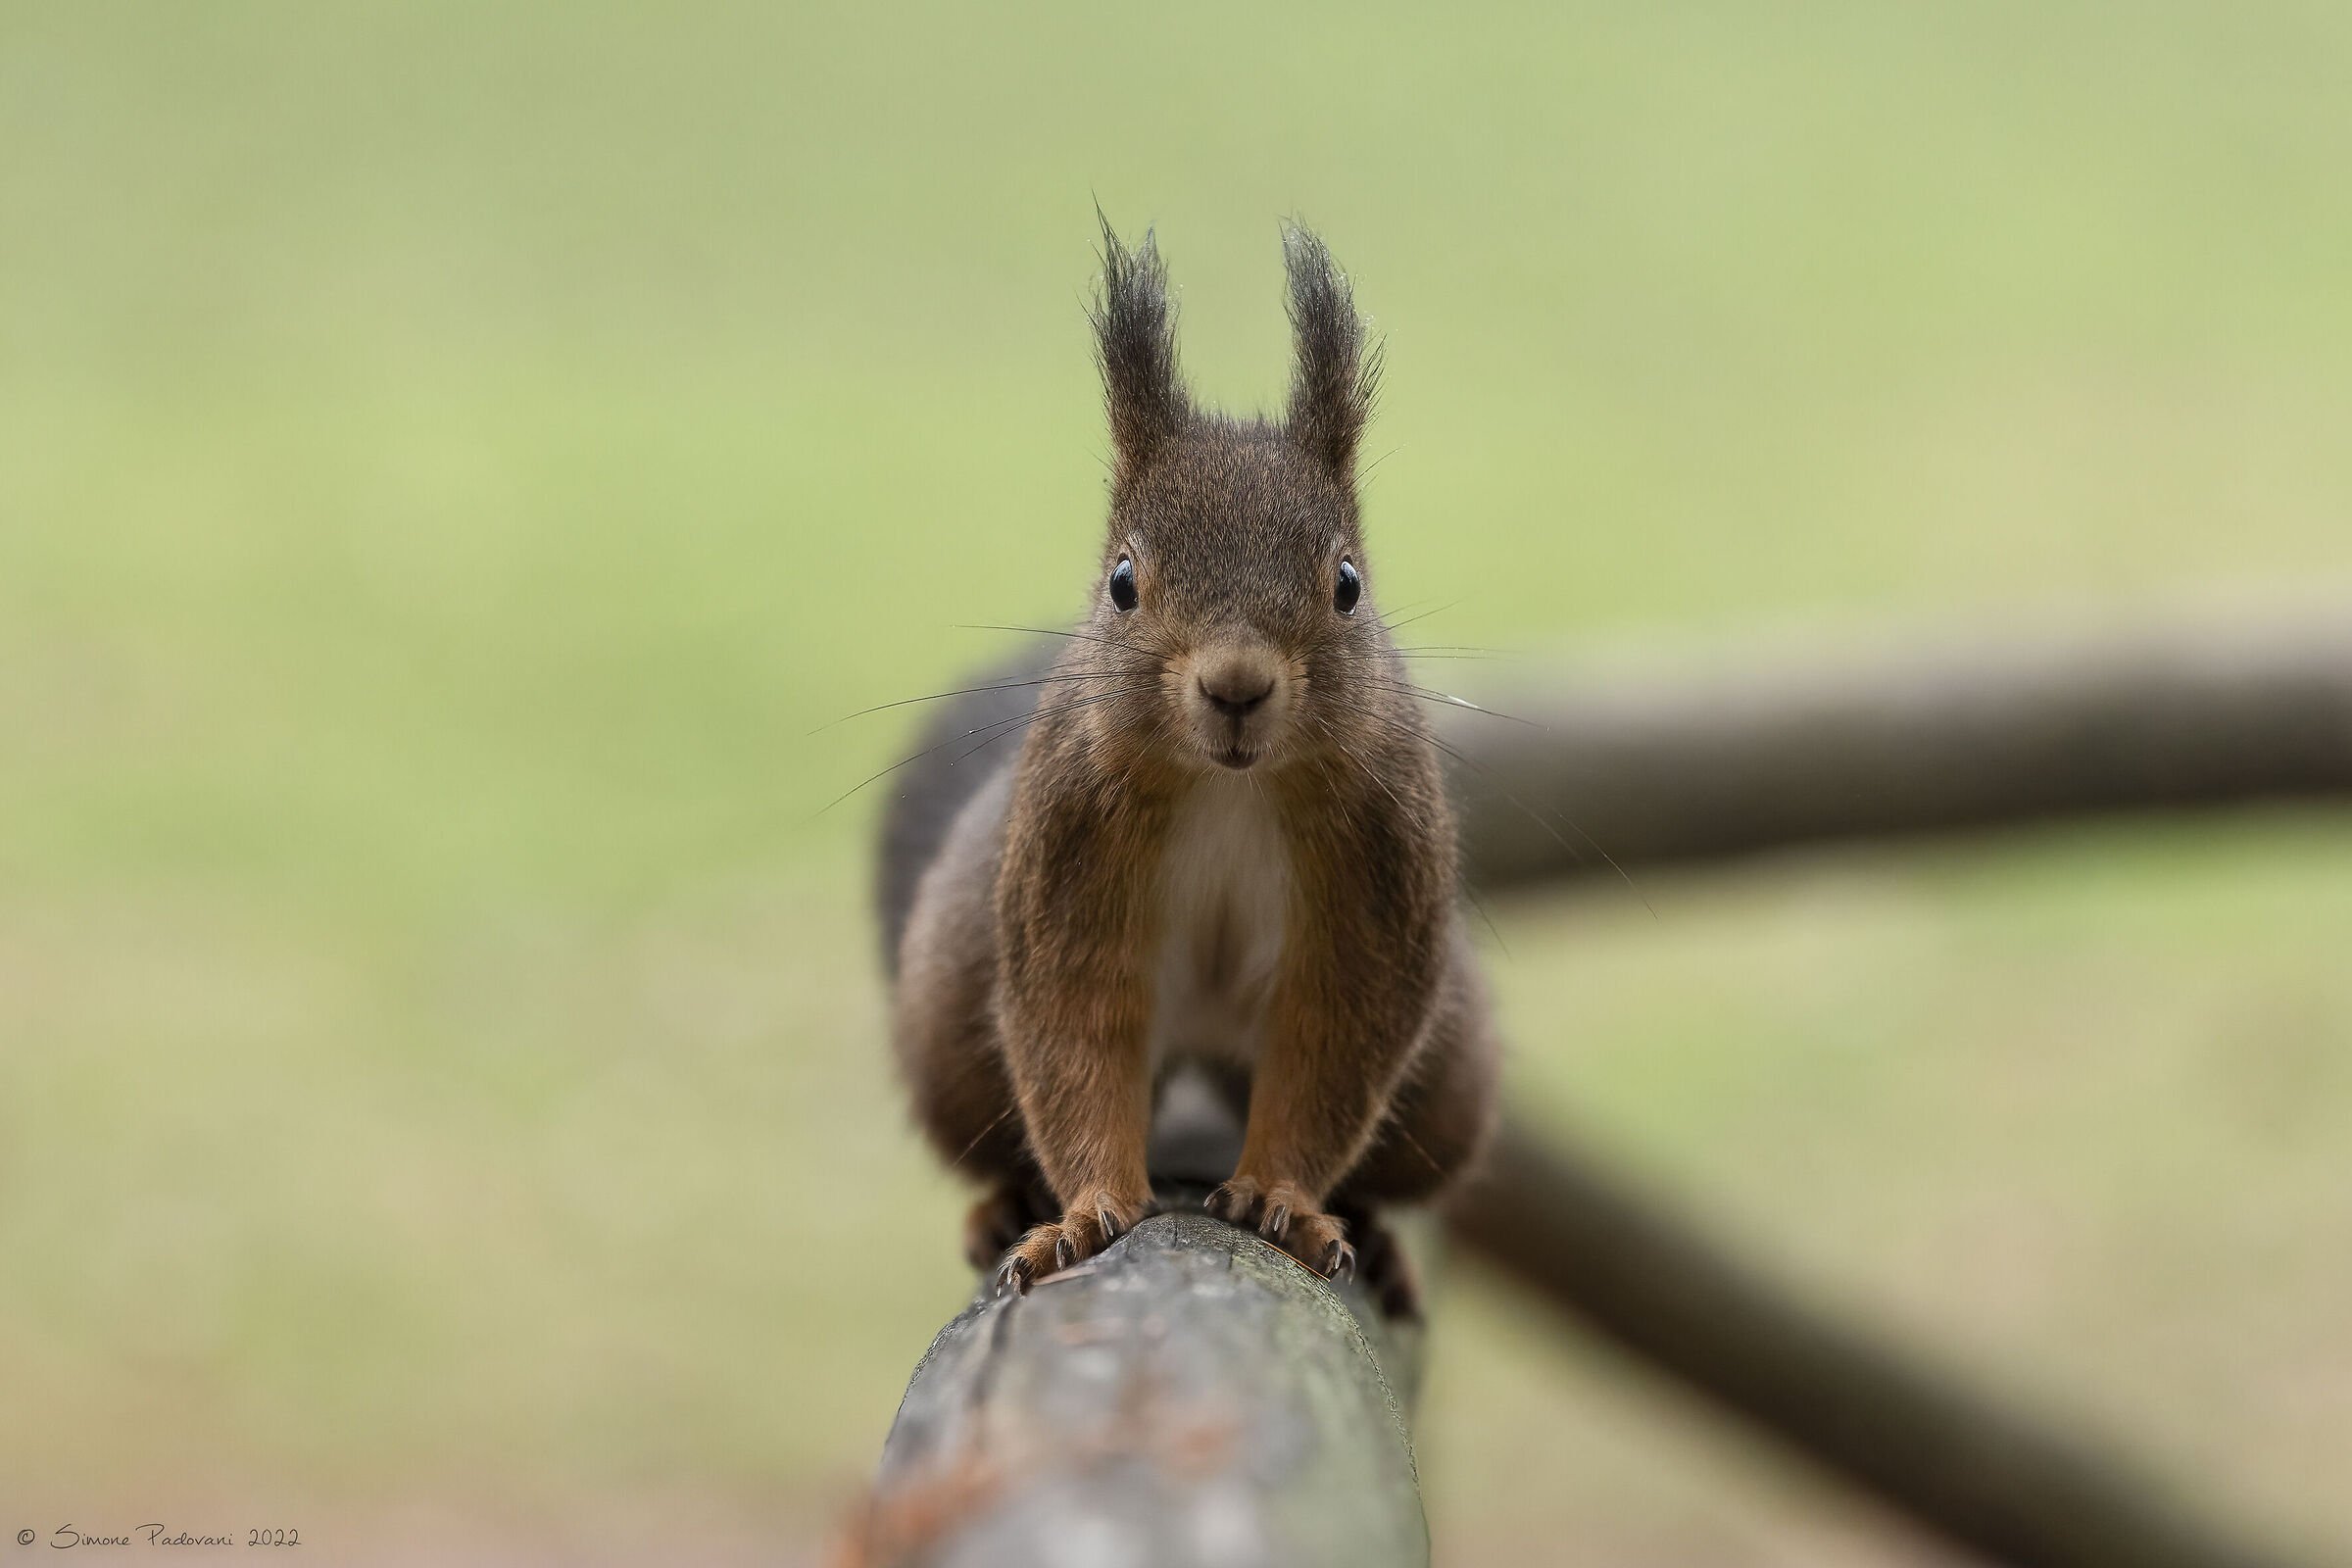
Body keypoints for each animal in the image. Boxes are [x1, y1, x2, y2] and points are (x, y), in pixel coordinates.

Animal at [876, 218, 1498, 1312]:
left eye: (1347, 583)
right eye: (1123, 581)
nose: (1236, 684)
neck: (1229, 786)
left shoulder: (1377, 880)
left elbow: (1332, 1053)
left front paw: (1282, 1198)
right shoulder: (1071, 854)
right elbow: (1075, 1038)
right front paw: (1082, 1216)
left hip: (1449, 1081)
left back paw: (1378, 1236)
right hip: (951, 1020)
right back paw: (1000, 1205)